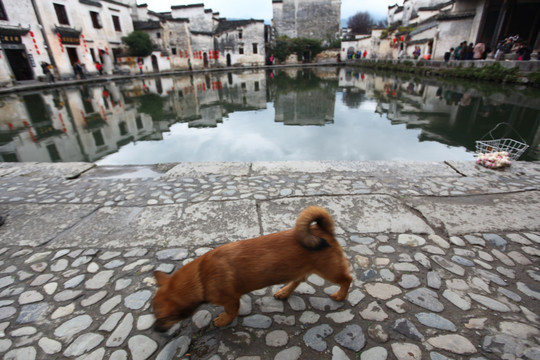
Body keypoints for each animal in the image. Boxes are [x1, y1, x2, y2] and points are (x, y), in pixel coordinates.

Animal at [153, 205, 354, 332]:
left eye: (165, 318)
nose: (155, 329)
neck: (200, 275)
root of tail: (324, 231)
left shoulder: (231, 300)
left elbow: (231, 312)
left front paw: (223, 320)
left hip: (330, 271)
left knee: (347, 279)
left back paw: (340, 295)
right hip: (299, 268)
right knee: (299, 279)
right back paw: (284, 291)